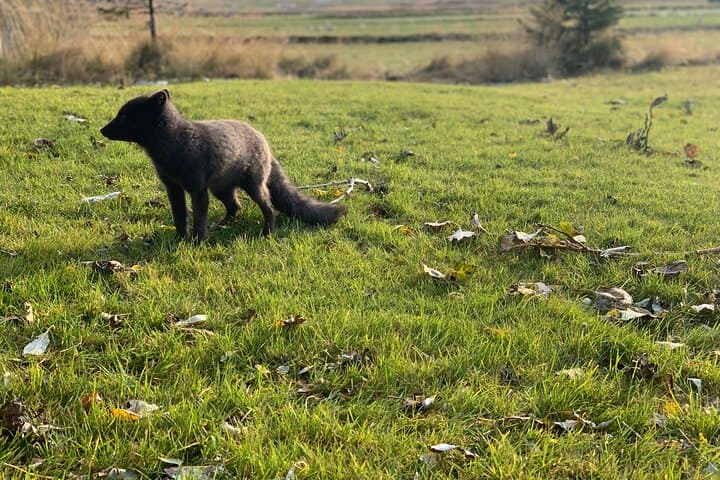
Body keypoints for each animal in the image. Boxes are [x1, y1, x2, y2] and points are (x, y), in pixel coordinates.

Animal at [100, 89, 346, 242]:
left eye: (124, 116)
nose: (102, 130)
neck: (176, 142)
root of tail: (262, 139)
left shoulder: (197, 189)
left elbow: (198, 220)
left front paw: (197, 242)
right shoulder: (173, 189)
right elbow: (179, 217)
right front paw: (180, 239)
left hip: (254, 187)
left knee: (268, 207)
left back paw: (267, 233)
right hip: (221, 190)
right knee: (236, 207)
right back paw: (222, 225)